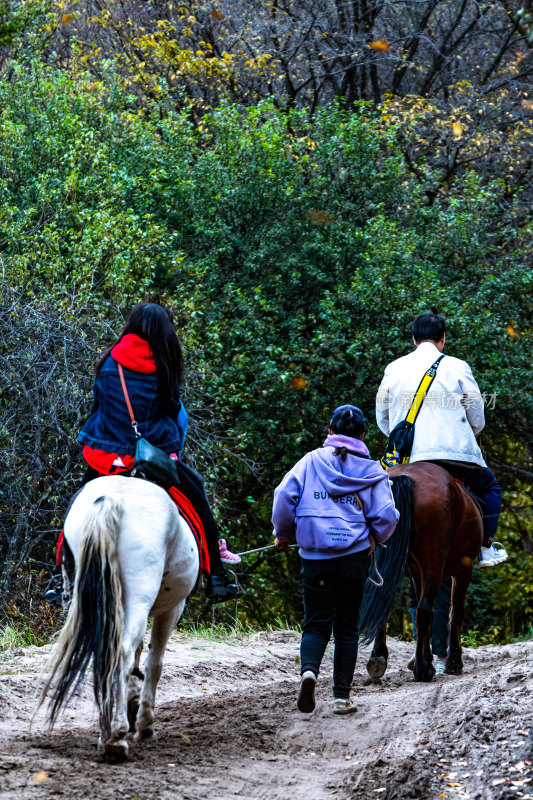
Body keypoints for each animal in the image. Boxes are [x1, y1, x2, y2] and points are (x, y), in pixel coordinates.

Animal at [38, 476, 200, 764]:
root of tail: (111, 498)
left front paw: (132, 702)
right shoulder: (172, 609)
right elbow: (154, 663)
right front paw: (144, 724)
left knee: (108, 655)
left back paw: (108, 732)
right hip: (139, 595)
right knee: (121, 654)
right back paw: (116, 737)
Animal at [358, 462, 482, 680]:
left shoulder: (417, 573)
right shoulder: (464, 569)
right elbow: (456, 611)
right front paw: (454, 662)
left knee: (384, 604)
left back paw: (378, 658)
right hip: (434, 566)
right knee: (425, 609)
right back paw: (424, 669)